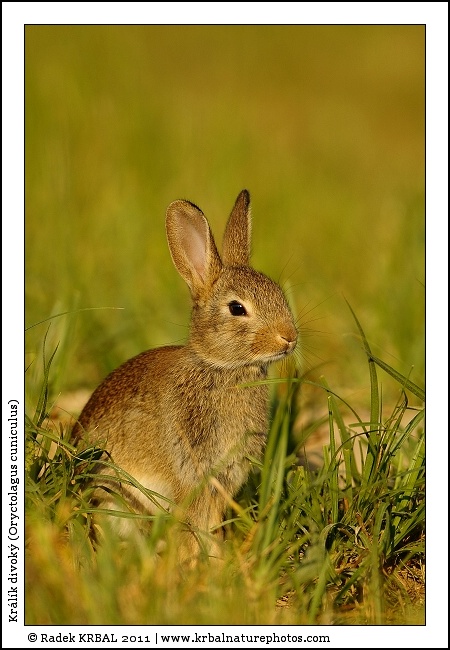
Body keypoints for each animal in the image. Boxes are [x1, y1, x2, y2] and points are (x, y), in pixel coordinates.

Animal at [72, 189, 298, 563]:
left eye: (279, 295)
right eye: (237, 308)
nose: (289, 337)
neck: (221, 368)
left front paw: (217, 560)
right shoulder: (193, 472)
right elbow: (196, 523)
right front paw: (203, 563)